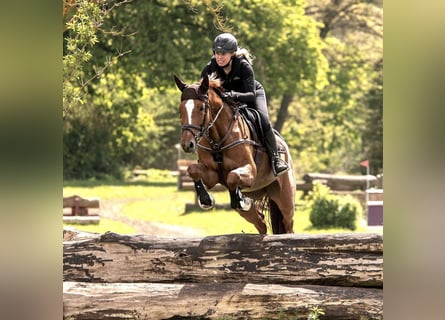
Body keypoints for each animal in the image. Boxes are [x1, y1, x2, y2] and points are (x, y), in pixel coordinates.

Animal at [173, 74, 294, 235]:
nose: (187, 145)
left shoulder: (251, 171)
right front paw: (206, 200)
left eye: (201, 108)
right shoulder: (212, 175)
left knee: (288, 225)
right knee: (261, 223)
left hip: (285, 200)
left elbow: (233, 176)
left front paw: (240, 200)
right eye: (181, 109)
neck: (218, 139)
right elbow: (192, 170)